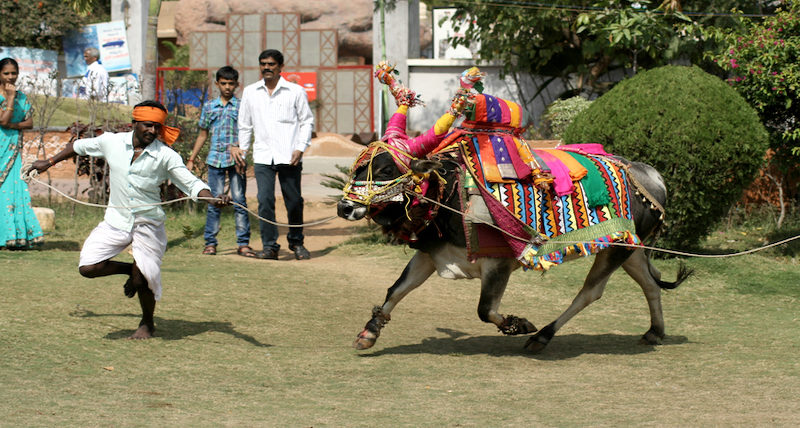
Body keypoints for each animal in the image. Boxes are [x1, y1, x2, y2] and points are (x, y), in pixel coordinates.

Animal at [340, 65, 692, 352]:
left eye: (386, 170)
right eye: (358, 166)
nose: (344, 207)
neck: (451, 197)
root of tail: (648, 174)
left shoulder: (498, 263)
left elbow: (484, 309)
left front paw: (518, 324)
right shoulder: (430, 254)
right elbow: (396, 290)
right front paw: (369, 332)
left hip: (616, 249)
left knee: (590, 292)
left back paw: (543, 335)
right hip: (629, 248)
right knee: (650, 282)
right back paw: (655, 331)